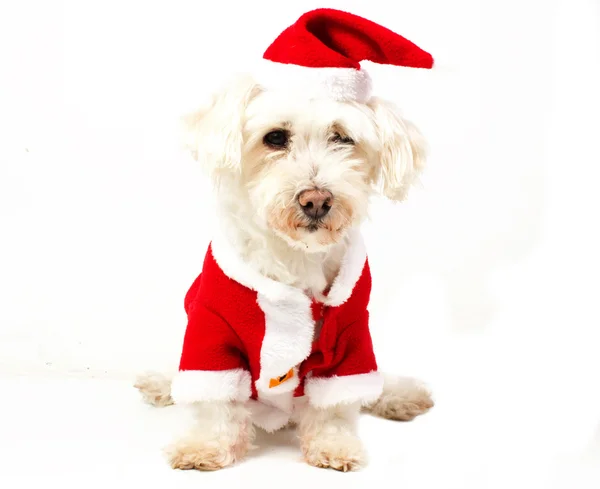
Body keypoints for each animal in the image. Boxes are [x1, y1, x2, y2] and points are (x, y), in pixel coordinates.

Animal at [135, 8, 436, 472]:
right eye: (275, 137)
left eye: (342, 138)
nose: (317, 200)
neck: (295, 258)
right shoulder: (211, 331)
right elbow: (214, 401)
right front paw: (204, 445)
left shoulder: (351, 339)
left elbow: (335, 405)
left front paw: (334, 445)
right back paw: (162, 383)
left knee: (373, 384)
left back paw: (399, 395)